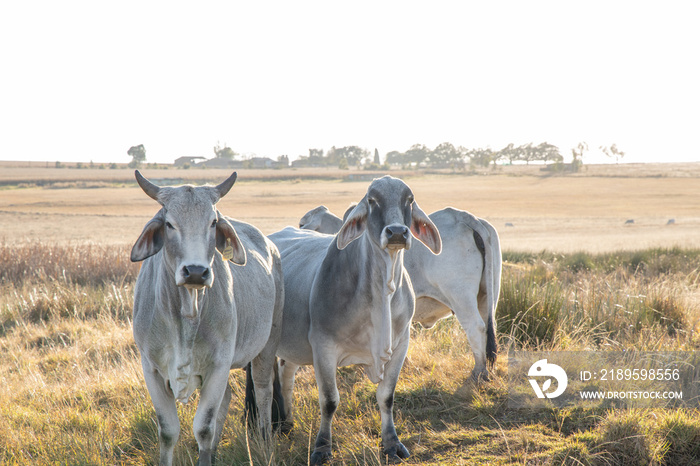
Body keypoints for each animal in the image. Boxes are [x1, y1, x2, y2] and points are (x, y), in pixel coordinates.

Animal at [131, 171, 284, 466]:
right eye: (169, 224)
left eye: (213, 222)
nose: (195, 272)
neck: (186, 316)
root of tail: (271, 246)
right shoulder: (151, 368)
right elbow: (168, 431)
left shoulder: (219, 365)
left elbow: (203, 428)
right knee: (228, 399)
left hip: (268, 343)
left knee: (263, 392)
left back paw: (265, 442)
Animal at [266, 177, 440, 464]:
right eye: (371, 200)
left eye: (410, 199)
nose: (397, 232)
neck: (381, 291)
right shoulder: (323, 348)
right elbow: (329, 401)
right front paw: (322, 447)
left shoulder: (401, 345)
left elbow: (386, 397)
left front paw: (392, 443)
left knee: (286, 373)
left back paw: (288, 423)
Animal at [298, 203, 500, 378]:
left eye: (301, 224)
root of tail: (463, 216)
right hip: (487, 296)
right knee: (487, 327)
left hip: (461, 297)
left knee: (475, 327)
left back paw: (478, 372)